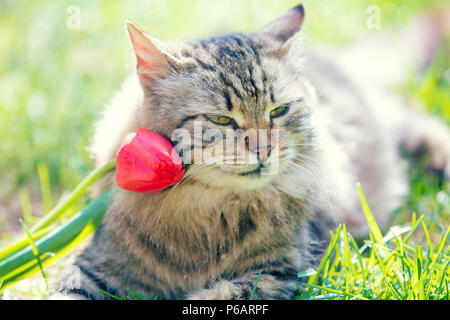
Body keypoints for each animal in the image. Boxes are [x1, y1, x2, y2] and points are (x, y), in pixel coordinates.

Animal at [50, 4, 450, 300]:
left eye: (278, 111)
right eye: (220, 120)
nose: (264, 148)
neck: (207, 213)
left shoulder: (276, 272)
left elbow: (219, 293)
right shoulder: (96, 265)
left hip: (398, 125)